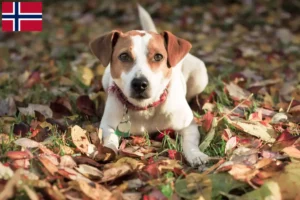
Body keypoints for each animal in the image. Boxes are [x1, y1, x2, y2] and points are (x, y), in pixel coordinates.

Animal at [89, 5, 209, 166]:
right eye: (124, 56)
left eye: (158, 56)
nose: (140, 84)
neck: (145, 108)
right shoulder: (108, 126)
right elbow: (110, 139)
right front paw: (107, 151)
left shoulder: (188, 126)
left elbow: (190, 142)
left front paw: (196, 155)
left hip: (200, 76)